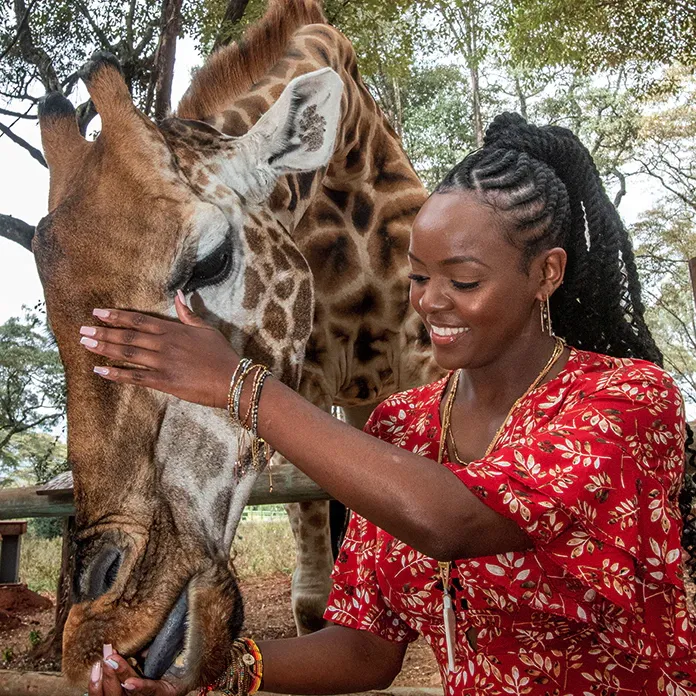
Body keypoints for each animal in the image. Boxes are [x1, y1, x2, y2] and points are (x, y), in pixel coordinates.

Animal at [29, 0, 440, 684]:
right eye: (56, 329)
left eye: (211, 260)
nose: (98, 630)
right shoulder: (306, 383)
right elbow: (314, 605)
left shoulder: (431, 364)